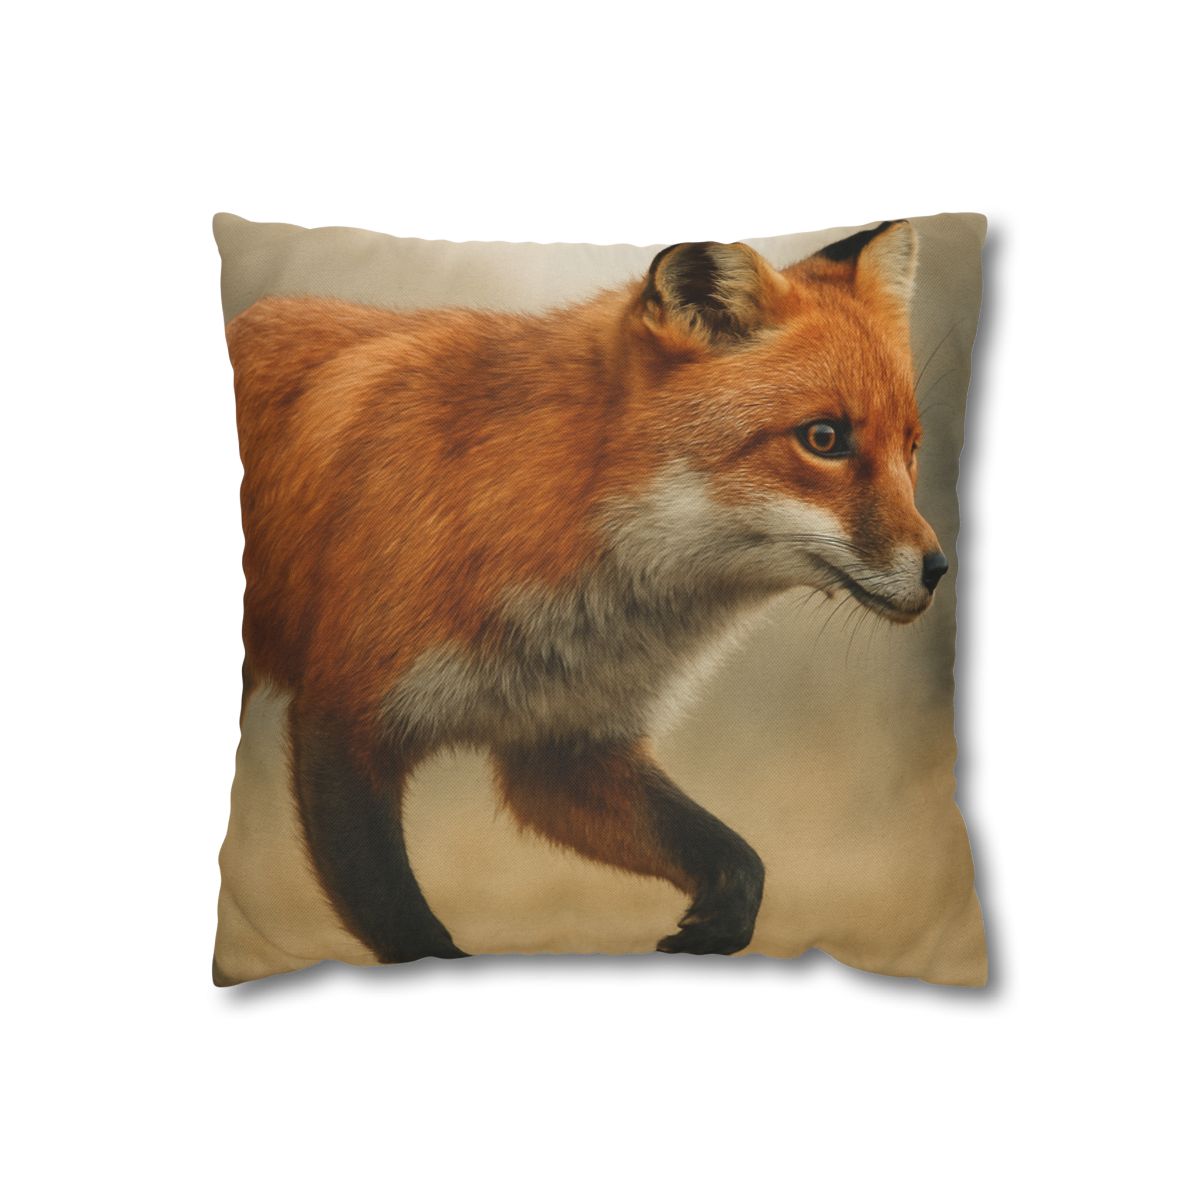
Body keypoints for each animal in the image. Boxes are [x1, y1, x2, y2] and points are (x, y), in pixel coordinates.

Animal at [226, 219, 948, 966]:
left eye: (911, 448)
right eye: (824, 438)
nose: (939, 569)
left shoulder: (563, 749)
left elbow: (739, 859)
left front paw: (714, 929)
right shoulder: (343, 721)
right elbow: (409, 930)